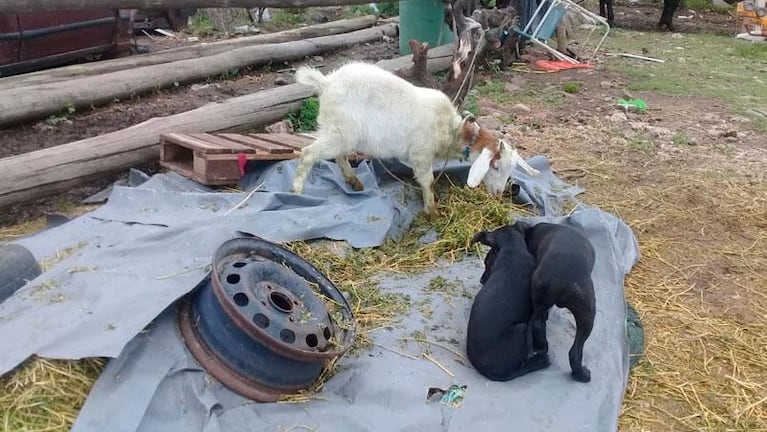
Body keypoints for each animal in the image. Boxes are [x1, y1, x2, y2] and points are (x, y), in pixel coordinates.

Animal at [292, 61, 484, 216]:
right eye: (475, 141)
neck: (447, 128)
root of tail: (327, 82)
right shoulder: (420, 153)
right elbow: (427, 181)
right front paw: (433, 212)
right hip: (339, 131)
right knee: (308, 152)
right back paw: (296, 192)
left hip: (342, 134)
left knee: (339, 155)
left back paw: (356, 184)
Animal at [520, 221, 600, 384]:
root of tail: (555, 280)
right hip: (587, 311)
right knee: (575, 351)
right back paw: (583, 375)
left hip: (539, 296)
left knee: (538, 322)